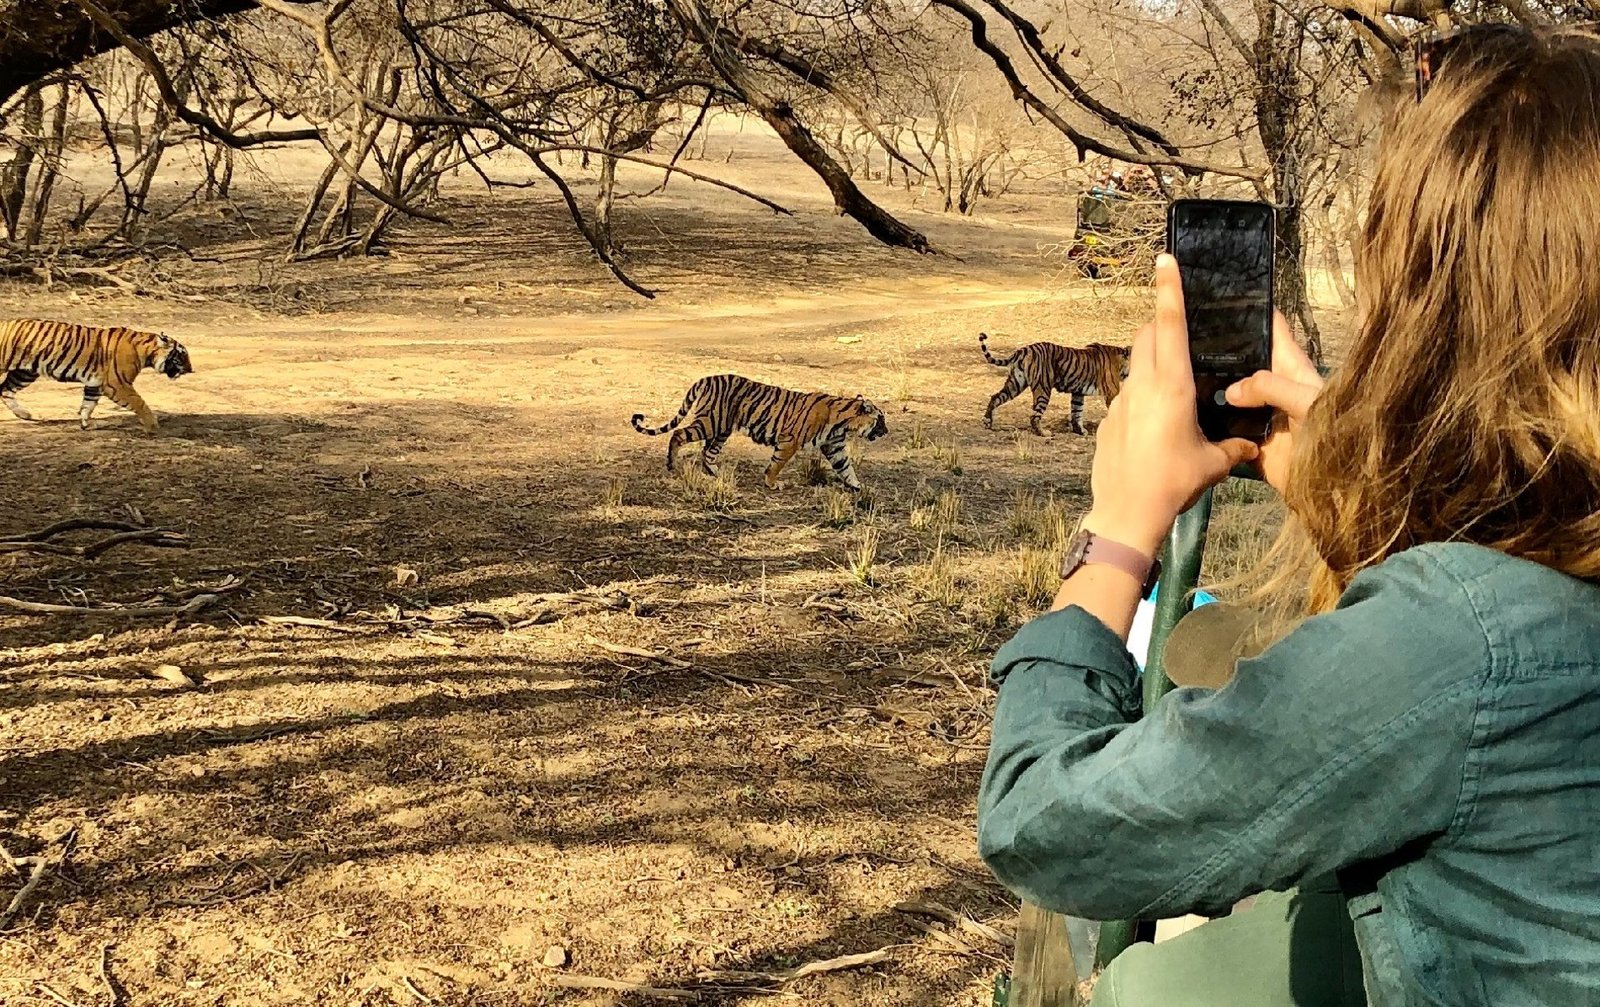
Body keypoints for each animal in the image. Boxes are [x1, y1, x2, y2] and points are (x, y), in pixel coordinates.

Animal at [0, 320, 192, 433]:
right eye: (182, 355)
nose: (191, 369)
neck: (146, 352)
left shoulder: (96, 384)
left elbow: (88, 405)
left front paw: (87, 424)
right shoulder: (117, 384)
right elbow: (140, 403)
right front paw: (153, 425)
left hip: (25, 372)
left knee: (5, 390)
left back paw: (25, 415)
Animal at [632, 374, 889, 492]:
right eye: (881, 420)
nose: (886, 431)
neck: (843, 422)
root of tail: (705, 378)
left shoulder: (834, 446)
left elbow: (846, 468)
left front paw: (859, 487)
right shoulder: (789, 440)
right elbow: (776, 463)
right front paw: (772, 483)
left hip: (722, 428)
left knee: (707, 452)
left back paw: (715, 472)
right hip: (710, 422)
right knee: (678, 435)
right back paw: (672, 465)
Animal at [979, 332, 1130, 436]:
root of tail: (1023, 350)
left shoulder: (1078, 393)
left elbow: (1077, 412)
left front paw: (1080, 431)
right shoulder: (1112, 392)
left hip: (1015, 384)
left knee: (995, 397)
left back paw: (987, 422)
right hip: (1043, 389)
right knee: (1034, 416)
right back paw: (1043, 433)